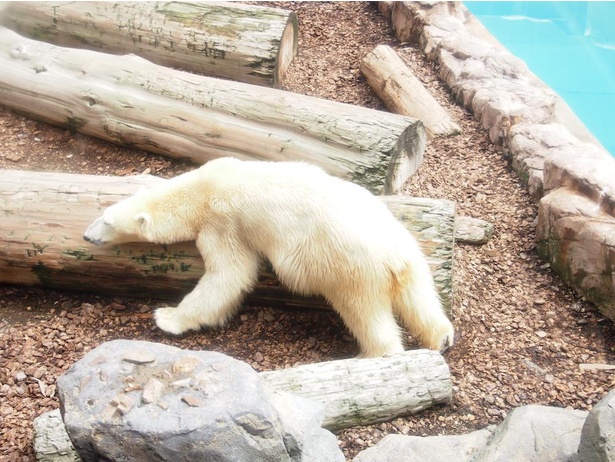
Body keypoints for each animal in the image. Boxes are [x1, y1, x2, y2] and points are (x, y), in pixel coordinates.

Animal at [84, 158, 454, 358]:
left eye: (106, 222)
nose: (87, 235)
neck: (202, 187)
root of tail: (394, 255)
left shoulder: (222, 220)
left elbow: (230, 273)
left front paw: (167, 317)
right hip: (412, 254)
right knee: (421, 298)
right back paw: (442, 337)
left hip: (349, 266)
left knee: (363, 311)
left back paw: (377, 353)